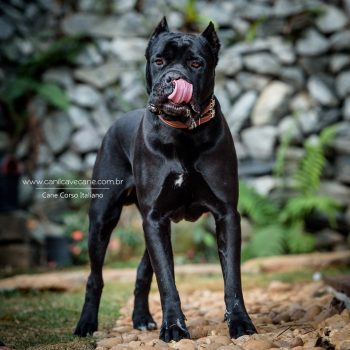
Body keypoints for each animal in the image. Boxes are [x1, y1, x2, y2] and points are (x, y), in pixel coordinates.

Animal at [75, 17, 256, 342]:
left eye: (196, 63)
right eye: (159, 60)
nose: (174, 78)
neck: (182, 133)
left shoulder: (225, 214)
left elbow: (232, 279)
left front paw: (240, 322)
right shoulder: (155, 217)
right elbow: (167, 281)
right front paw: (173, 327)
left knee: (142, 270)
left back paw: (141, 318)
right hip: (103, 219)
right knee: (95, 276)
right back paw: (86, 323)